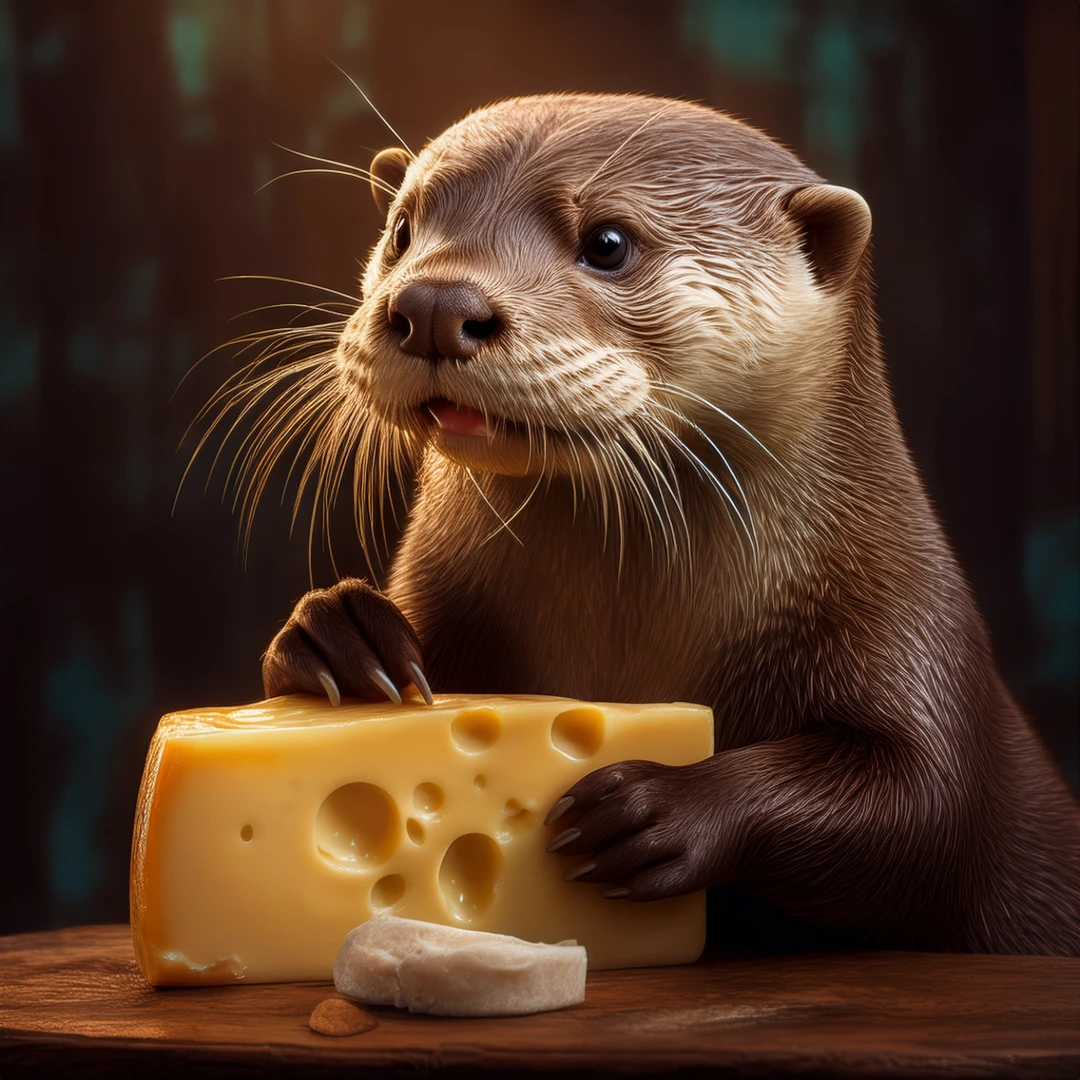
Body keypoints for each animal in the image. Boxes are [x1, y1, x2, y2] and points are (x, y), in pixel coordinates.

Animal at [257, 93, 1080, 955]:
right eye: (403, 230)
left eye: (608, 243)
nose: (433, 305)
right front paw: (342, 636)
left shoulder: (908, 621)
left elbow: (924, 808)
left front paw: (661, 810)